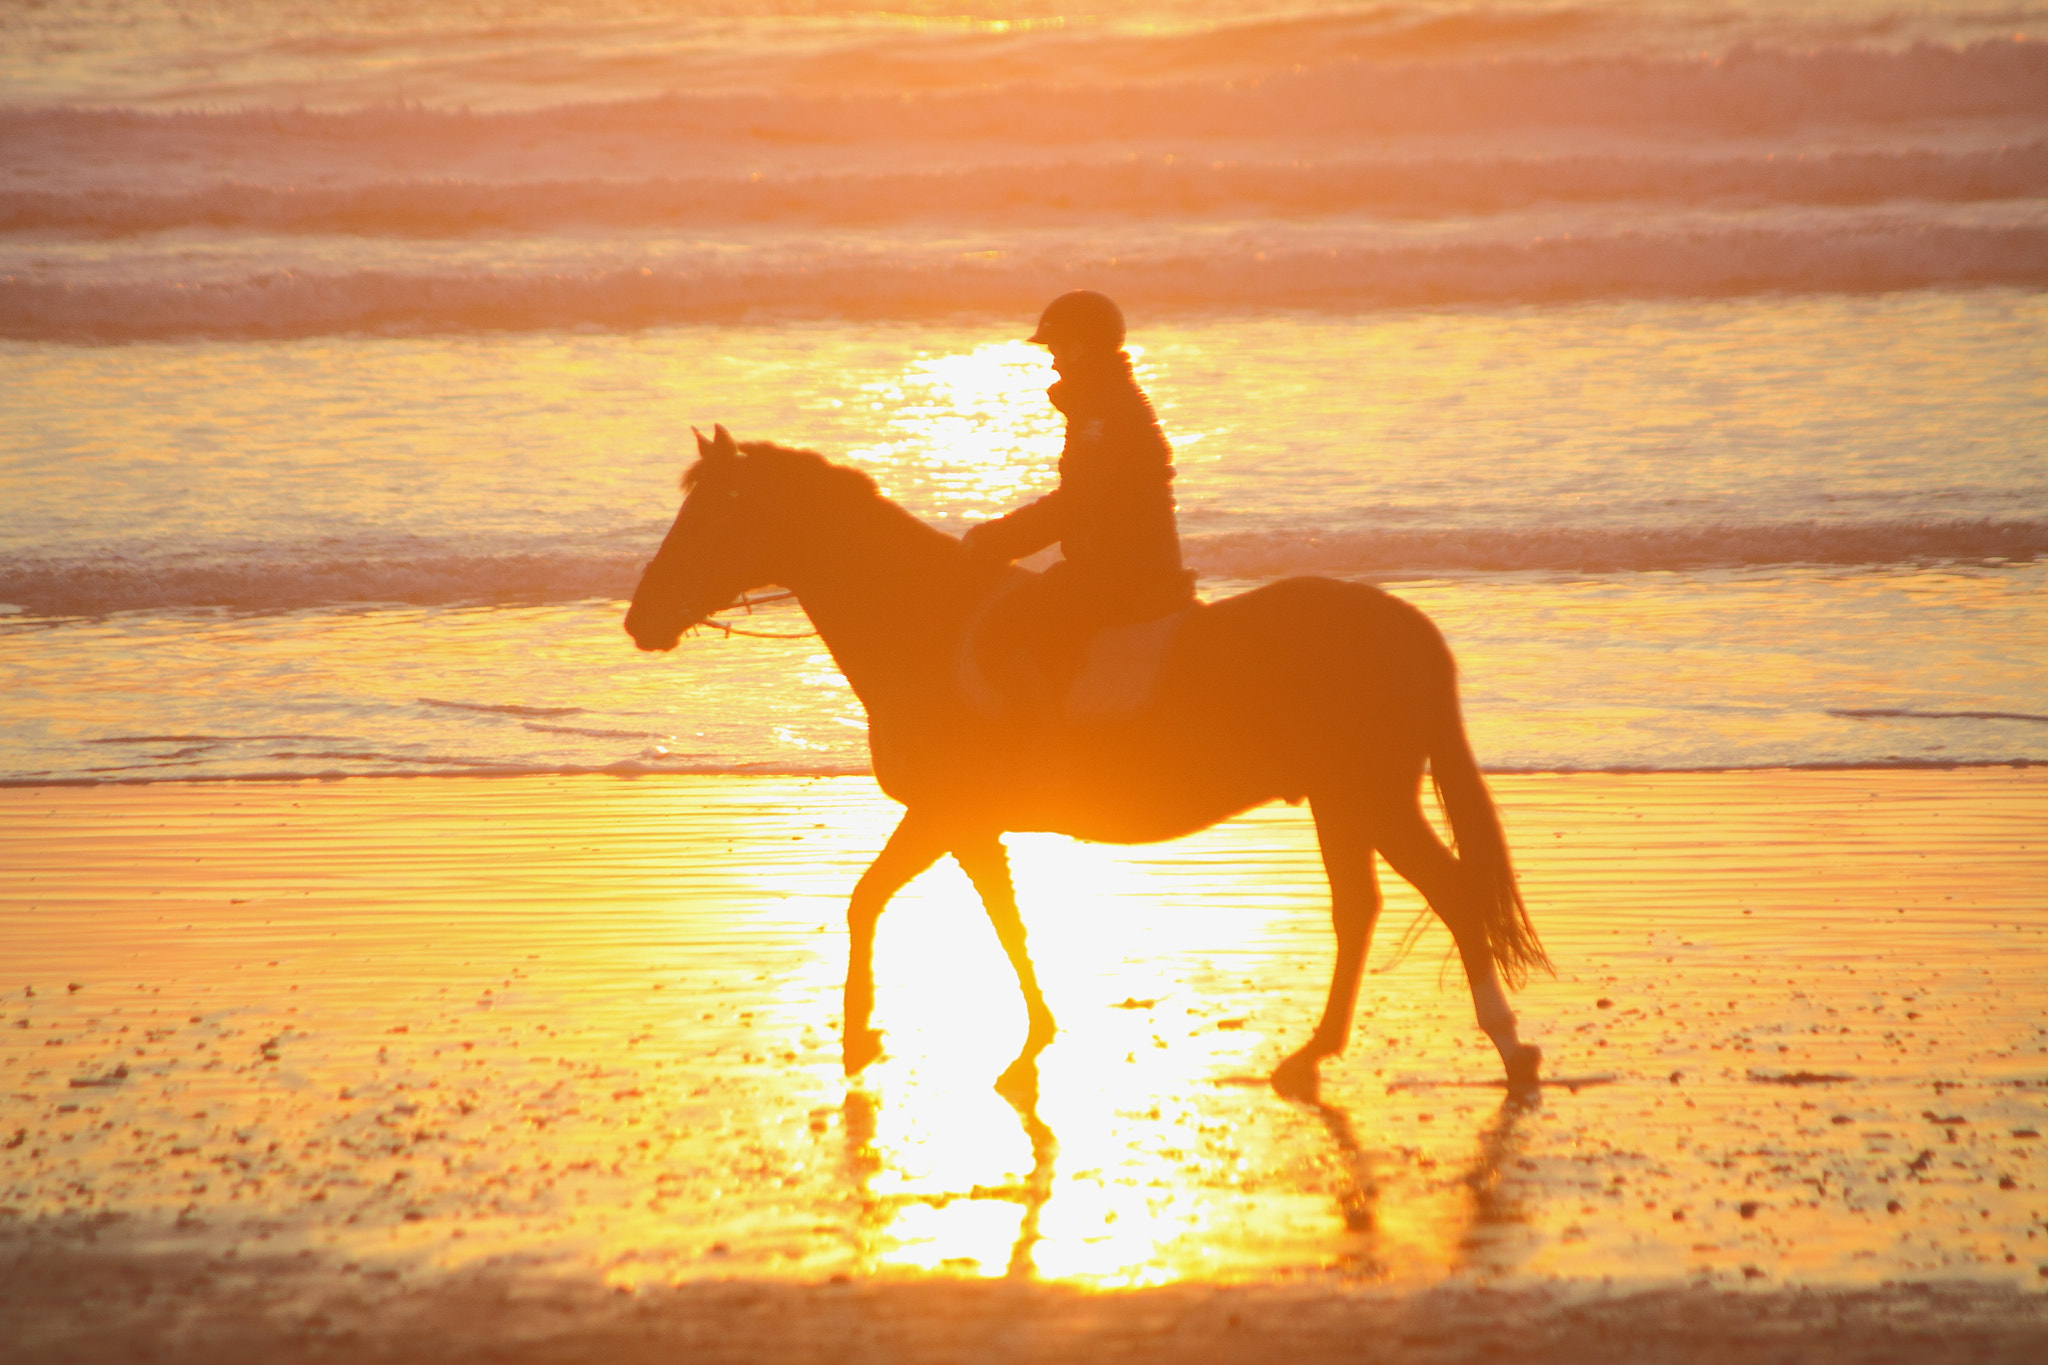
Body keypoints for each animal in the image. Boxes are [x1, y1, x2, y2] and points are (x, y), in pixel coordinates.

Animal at [625, 425, 1549, 1102]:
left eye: (711, 518)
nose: (640, 619)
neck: (921, 620)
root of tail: (1404, 626)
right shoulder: (965, 825)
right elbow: (987, 916)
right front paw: (1020, 1030)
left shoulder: (946, 815)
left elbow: (881, 903)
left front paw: (863, 1035)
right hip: (1340, 800)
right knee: (1361, 909)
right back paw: (1314, 1054)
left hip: (1370, 796)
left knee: (1448, 894)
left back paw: (1507, 1045)